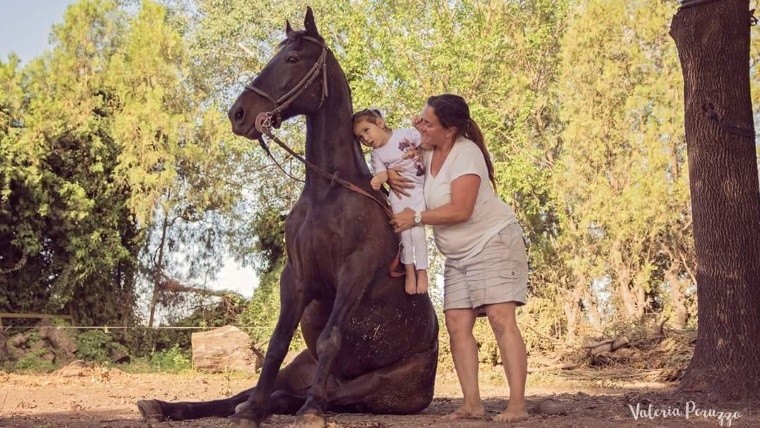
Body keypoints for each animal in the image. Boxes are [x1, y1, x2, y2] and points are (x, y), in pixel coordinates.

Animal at [138, 7, 440, 428]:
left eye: (293, 59)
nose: (239, 114)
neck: (327, 192)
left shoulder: (355, 271)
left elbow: (330, 338)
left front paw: (308, 411)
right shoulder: (296, 276)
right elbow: (276, 342)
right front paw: (251, 410)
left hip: (377, 387)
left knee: (316, 394)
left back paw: (304, 404)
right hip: (303, 367)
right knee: (250, 393)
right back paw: (167, 406)